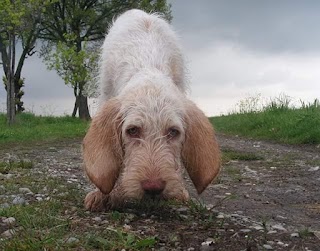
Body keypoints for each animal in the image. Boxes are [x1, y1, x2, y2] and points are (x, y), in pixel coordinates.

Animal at [82, 8, 220, 211]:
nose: (153, 188)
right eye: (132, 130)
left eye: (173, 132)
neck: (148, 69)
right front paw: (102, 194)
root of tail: (139, 12)